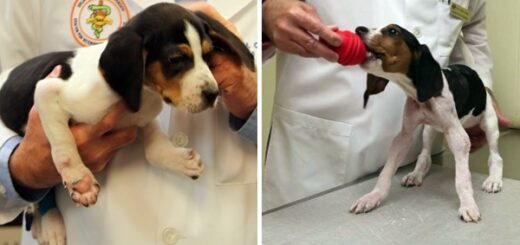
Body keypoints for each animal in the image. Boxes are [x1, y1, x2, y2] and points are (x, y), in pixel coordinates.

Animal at [0, 2, 254, 244]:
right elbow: (63, 145)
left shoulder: (141, 116)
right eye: (176, 59)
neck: (142, 92)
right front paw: (80, 179)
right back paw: (50, 222)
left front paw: (179, 160)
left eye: (209, 56)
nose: (213, 94)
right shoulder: (46, 91)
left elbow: (154, 150)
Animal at [352, 24, 502, 222]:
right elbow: (386, 172)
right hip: (429, 130)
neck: (419, 94)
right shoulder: (404, 136)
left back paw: (494, 180)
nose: (359, 29)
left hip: (490, 125)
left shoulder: (458, 137)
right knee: (424, 155)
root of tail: (477, 77)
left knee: (496, 157)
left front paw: (468, 204)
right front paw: (373, 197)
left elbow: (462, 179)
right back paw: (416, 174)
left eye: (393, 31)